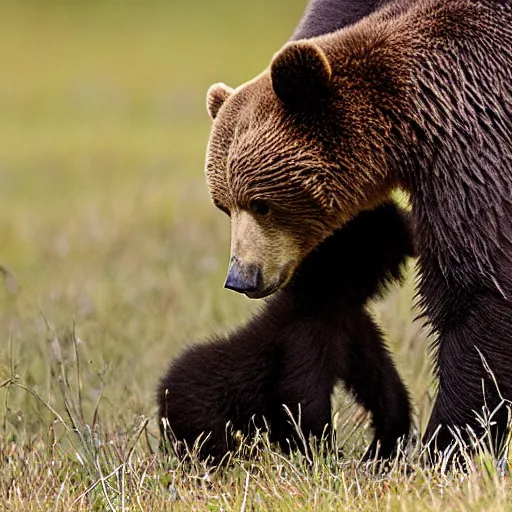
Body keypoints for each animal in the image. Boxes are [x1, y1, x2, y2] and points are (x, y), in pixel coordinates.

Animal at [158, 202, 414, 462]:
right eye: (387, 222)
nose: (410, 220)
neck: (326, 299)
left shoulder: (355, 329)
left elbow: (380, 380)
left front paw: (387, 442)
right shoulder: (304, 336)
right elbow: (301, 397)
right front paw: (328, 455)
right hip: (202, 414)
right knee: (213, 443)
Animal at [204, 0, 512, 460]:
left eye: (262, 203)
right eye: (224, 206)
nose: (242, 277)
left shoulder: (473, 137)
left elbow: (477, 286)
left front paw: (447, 439)